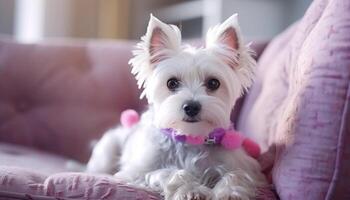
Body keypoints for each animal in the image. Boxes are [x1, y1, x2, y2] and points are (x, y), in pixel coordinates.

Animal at [86, 14, 266, 200]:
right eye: (171, 83)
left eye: (213, 83)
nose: (191, 107)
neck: (190, 136)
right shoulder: (137, 171)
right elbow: (170, 172)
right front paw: (190, 190)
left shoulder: (243, 166)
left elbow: (236, 175)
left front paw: (229, 193)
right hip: (106, 151)